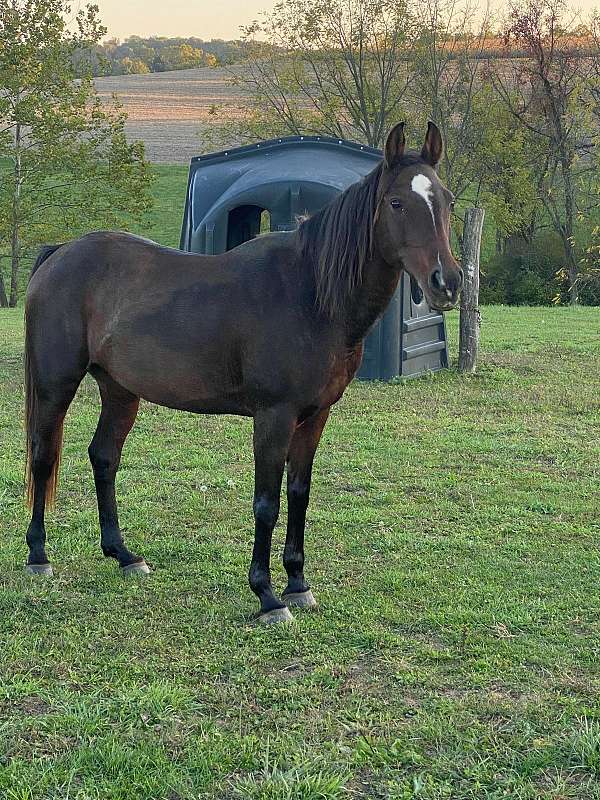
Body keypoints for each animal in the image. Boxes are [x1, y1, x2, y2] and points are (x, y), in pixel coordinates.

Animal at [23, 122, 464, 624]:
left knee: (104, 457)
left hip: (120, 391)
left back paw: (124, 554)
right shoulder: (274, 416)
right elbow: (267, 503)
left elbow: (299, 493)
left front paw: (298, 583)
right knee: (43, 455)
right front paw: (268, 595)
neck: (309, 293)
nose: (447, 283)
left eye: (447, 200)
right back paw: (38, 556)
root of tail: (60, 253)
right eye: (396, 202)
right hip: (56, 384)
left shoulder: (315, 417)